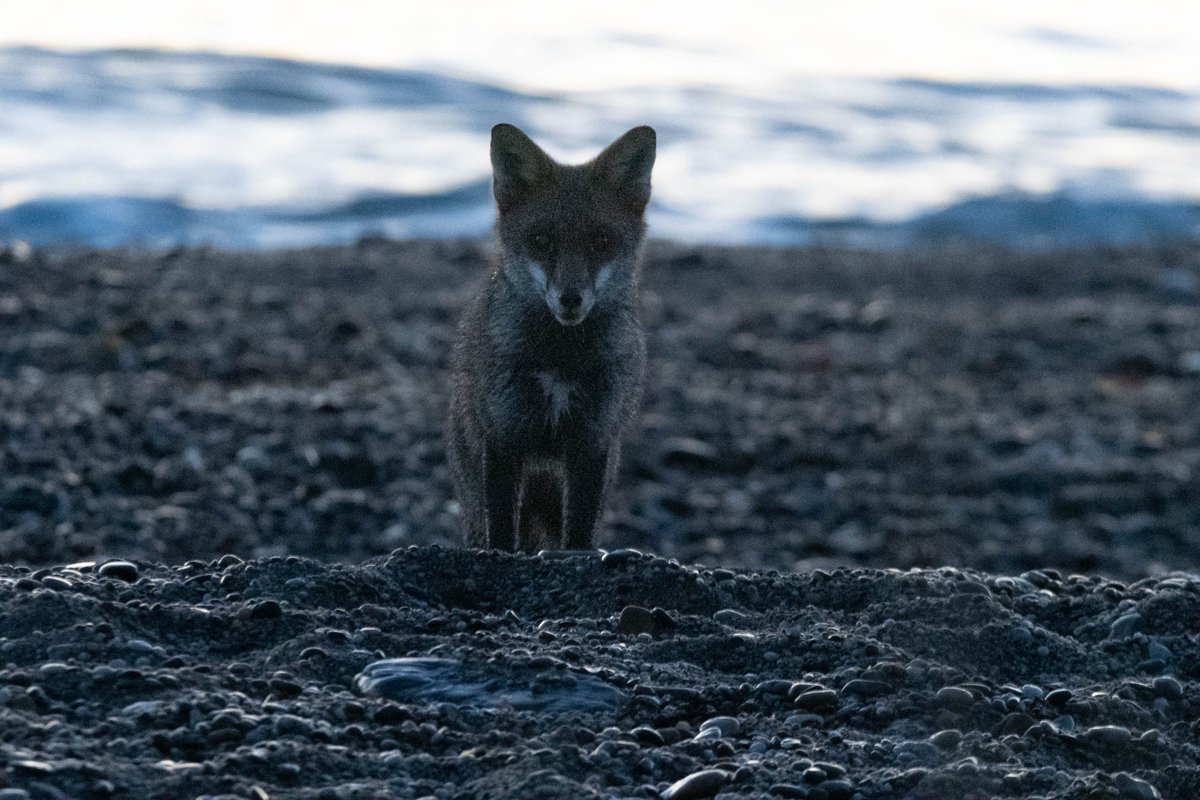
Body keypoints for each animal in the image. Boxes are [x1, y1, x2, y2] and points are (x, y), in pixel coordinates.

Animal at [447, 123, 656, 552]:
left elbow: (578, 532)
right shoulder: (503, 435)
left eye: (601, 242)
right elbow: (501, 530)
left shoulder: (591, 440)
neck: (561, 360)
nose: (570, 299)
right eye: (541, 241)